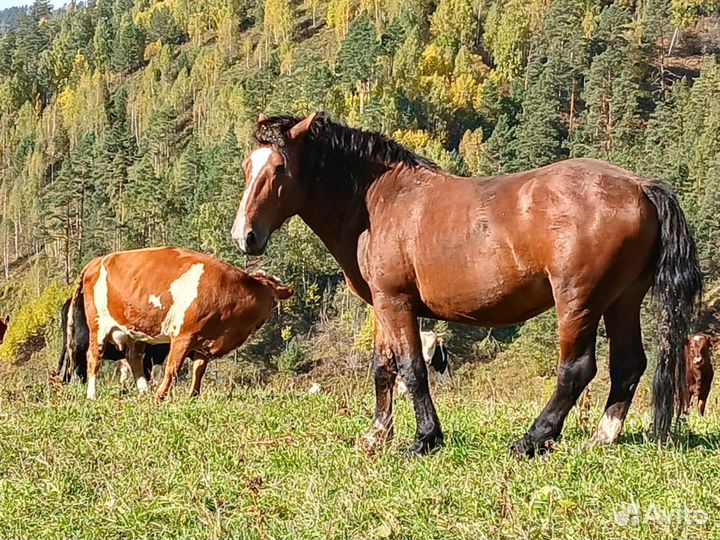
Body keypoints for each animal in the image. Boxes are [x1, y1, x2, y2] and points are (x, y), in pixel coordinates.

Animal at [67, 247, 292, 398]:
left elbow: (199, 370)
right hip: (98, 326)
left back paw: (144, 391)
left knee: (134, 358)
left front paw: (193, 396)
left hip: (134, 331)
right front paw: (160, 396)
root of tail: (97, 261)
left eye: (273, 300)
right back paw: (93, 394)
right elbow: (173, 368)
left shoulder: (204, 341)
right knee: (94, 357)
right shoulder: (184, 335)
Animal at [232, 113, 704, 456]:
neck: (379, 200)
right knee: (628, 364)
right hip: (622, 301)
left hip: (579, 301)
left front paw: (425, 439)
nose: (244, 236)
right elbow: (383, 368)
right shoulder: (382, 305)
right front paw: (376, 435)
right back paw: (601, 438)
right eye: (247, 167)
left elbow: (412, 370)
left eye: (279, 168)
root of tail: (641, 186)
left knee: (577, 369)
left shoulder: (396, 303)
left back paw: (532, 440)